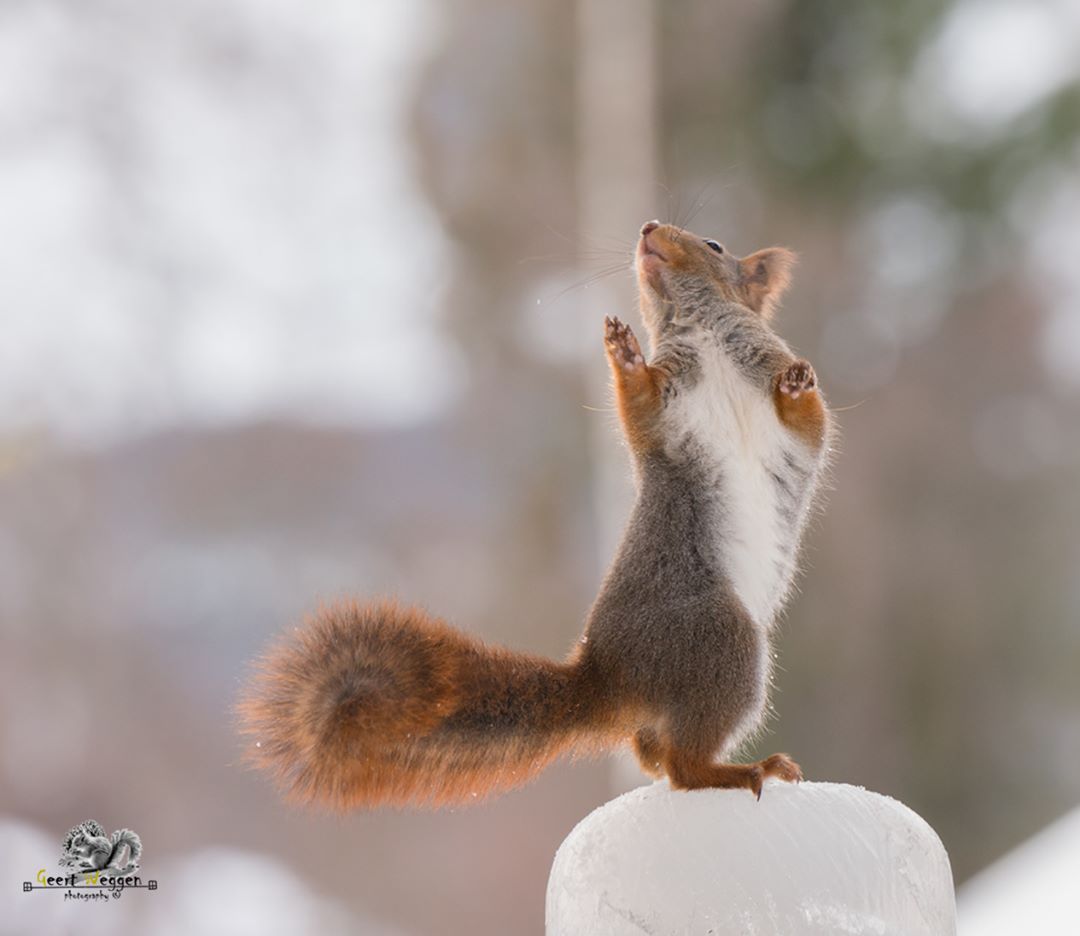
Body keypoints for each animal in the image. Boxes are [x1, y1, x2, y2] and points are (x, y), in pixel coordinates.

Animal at [240, 221, 833, 811]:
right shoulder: (665, 413)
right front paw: (623, 354)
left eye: (713, 246)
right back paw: (743, 769)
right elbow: (638, 405)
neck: (704, 332)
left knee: (661, 757)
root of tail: (610, 677)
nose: (648, 229)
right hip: (718, 636)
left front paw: (797, 383)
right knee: (678, 766)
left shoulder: (785, 416)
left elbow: (810, 421)